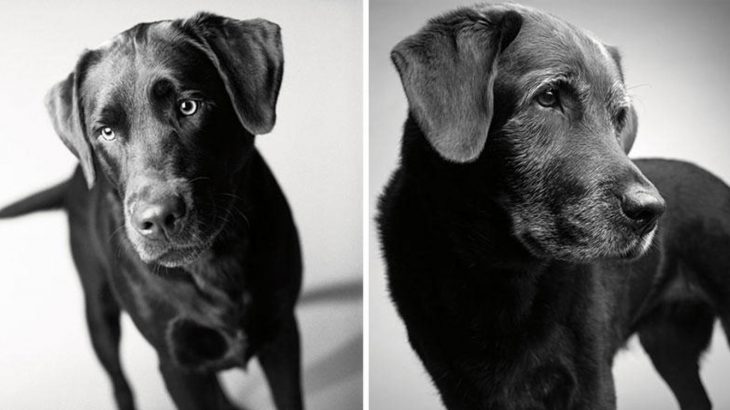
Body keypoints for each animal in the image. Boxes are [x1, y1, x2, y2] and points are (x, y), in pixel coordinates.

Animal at [0, 12, 302, 410]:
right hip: (98, 311)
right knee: (118, 380)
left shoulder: (281, 334)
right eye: (106, 132)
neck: (213, 262)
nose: (158, 219)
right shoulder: (175, 365)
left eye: (188, 106)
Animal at [378, 4, 728, 410]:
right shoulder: (459, 389)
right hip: (670, 348)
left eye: (618, 117)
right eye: (547, 96)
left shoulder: (592, 381)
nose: (651, 211)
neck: (496, 272)